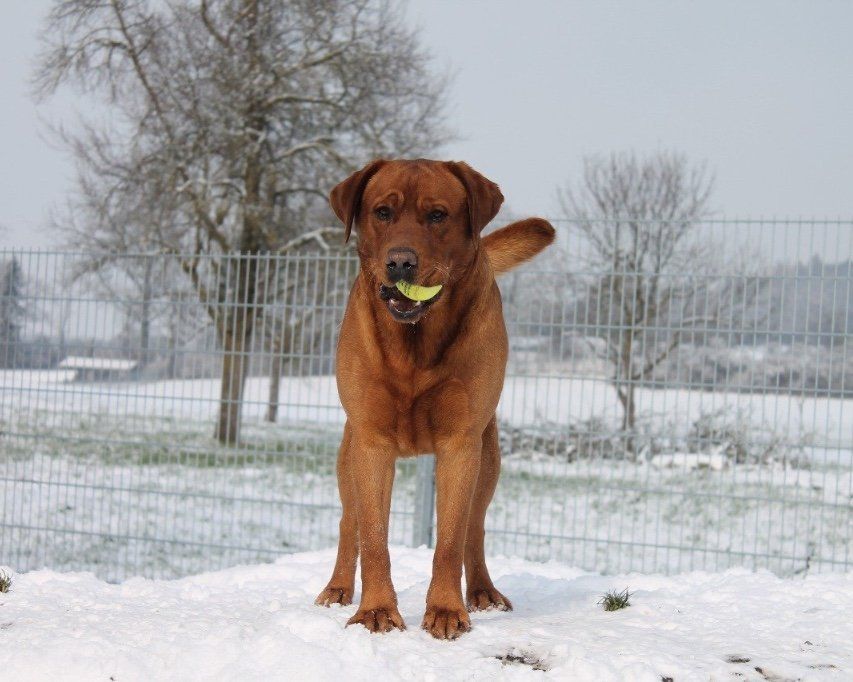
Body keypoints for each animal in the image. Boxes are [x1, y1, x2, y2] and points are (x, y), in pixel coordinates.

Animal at [314, 159, 554, 639]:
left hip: (489, 457)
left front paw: (445, 610)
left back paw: (482, 592)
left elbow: (450, 539)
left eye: (438, 215)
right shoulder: (370, 441)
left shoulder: (461, 443)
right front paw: (376, 611)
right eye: (382, 212)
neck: (415, 342)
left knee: (475, 528)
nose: (400, 262)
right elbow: (373, 537)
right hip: (348, 453)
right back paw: (337, 588)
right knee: (349, 521)